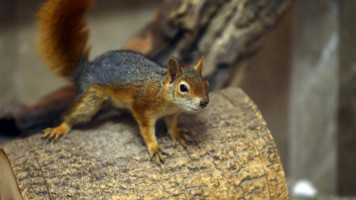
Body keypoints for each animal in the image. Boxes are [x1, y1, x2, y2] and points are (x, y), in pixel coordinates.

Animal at [36, 0, 209, 164]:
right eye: (183, 87)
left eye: (206, 83)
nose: (204, 103)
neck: (164, 96)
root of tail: (86, 69)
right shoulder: (142, 108)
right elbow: (147, 131)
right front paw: (154, 147)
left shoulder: (173, 113)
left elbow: (172, 125)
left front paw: (177, 133)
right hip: (93, 98)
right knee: (74, 113)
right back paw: (60, 127)